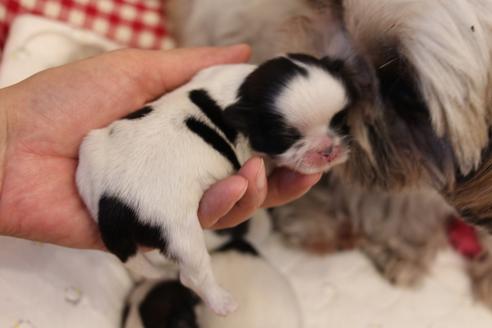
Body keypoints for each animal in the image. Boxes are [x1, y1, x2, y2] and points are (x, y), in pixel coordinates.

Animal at [76, 53, 354, 316]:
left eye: (339, 121)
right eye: (288, 138)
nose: (328, 150)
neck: (242, 91)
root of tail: (111, 203)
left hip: (88, 160)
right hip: (177, 229)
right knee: (193, 273)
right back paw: (221, 301)